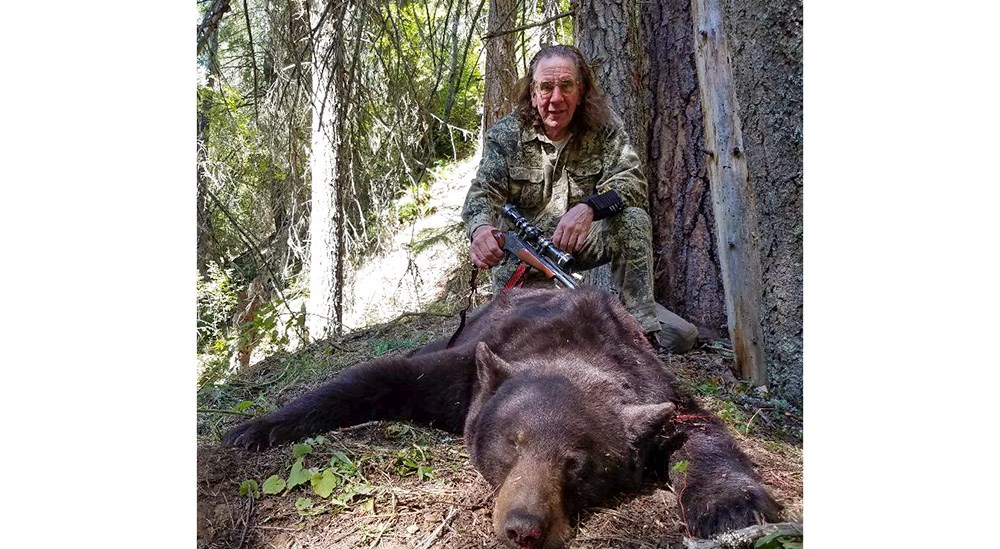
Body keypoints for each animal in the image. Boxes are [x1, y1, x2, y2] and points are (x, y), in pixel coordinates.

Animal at [227, 284, 780, 544]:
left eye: (577, 463)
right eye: (511, 443)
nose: (524, 528)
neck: (568, 349)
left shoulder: (651, 384)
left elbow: (696, 429)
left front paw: (733, 505)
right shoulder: (467, 372)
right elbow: (379, 376)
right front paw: (254, 427)